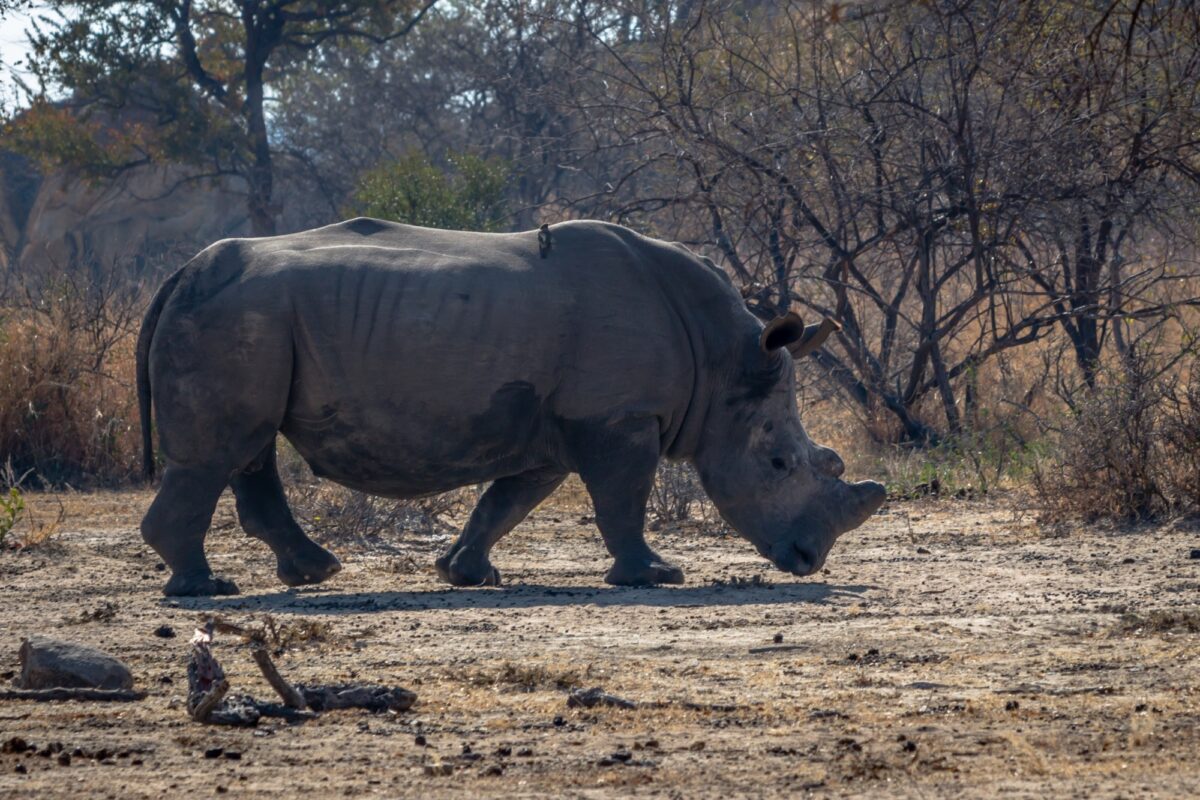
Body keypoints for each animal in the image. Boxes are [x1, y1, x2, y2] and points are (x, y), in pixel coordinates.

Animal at [137, 218, 885, 596]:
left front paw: (465, 573)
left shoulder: (559, 422)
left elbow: (510, 499)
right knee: (220, 450)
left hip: (248, 319)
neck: (724, 357)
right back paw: (206, 590)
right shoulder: (619, 416)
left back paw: (312, 573)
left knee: (247, 447)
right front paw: (657, 576)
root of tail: (180, 272)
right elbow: (623, 499)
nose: (808, 560)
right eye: (780, 463)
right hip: (238, 317)